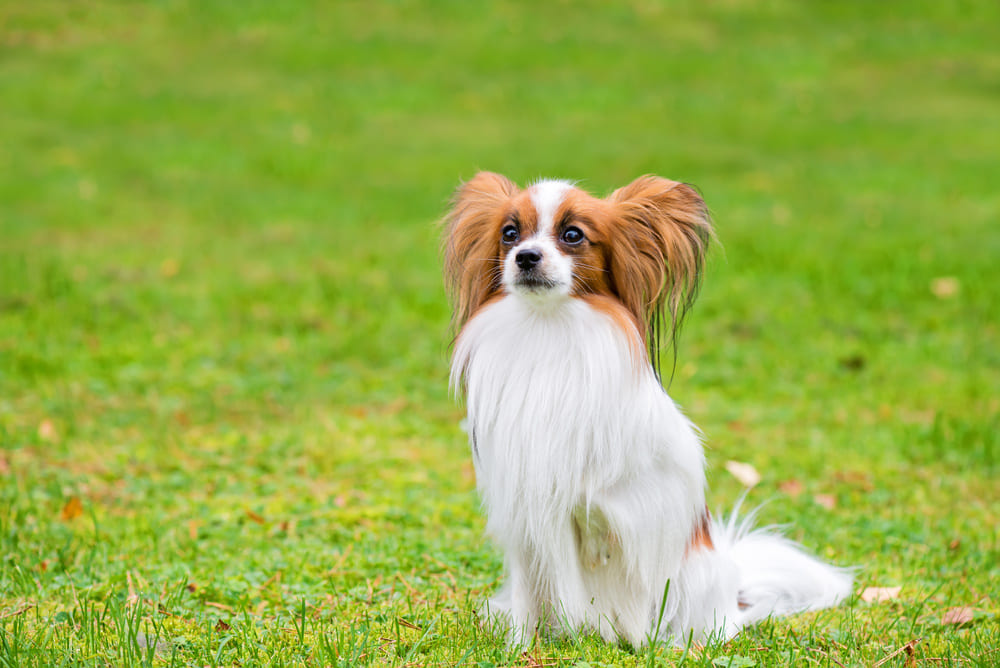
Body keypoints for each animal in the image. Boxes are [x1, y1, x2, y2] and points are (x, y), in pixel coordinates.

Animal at [446, 171, 852, 648]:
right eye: (510, 234)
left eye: (572, 235)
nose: (525, 256)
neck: (549, 329)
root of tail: (733, 593)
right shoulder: (524, 514)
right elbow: (529, 594)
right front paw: (519, 647)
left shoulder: (641, 503)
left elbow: (609, 522)